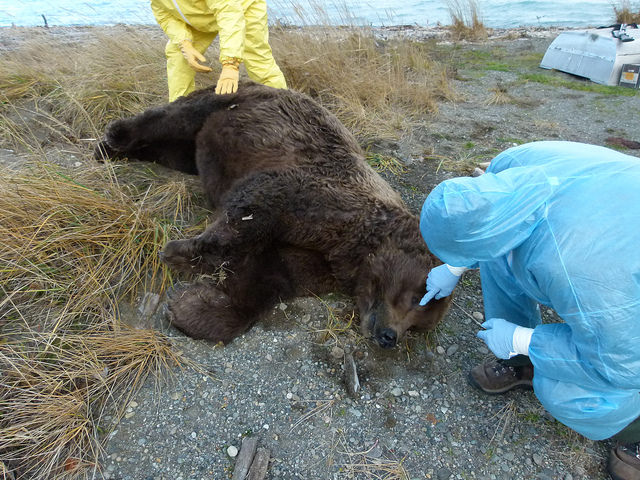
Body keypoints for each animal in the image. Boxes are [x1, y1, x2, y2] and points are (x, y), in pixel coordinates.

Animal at [97, 80, 452, 346]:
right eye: (419, 296)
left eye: (418, 325)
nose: (390, 336)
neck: (354, 252)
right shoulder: (313, 196)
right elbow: (249, 213)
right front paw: (181, 252)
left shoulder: (315, 258)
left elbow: (267, 279)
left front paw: (191, 307)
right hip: (232, 102)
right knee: (175, 116)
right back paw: (113, 139)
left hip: (192, 147)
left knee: (174, 148)